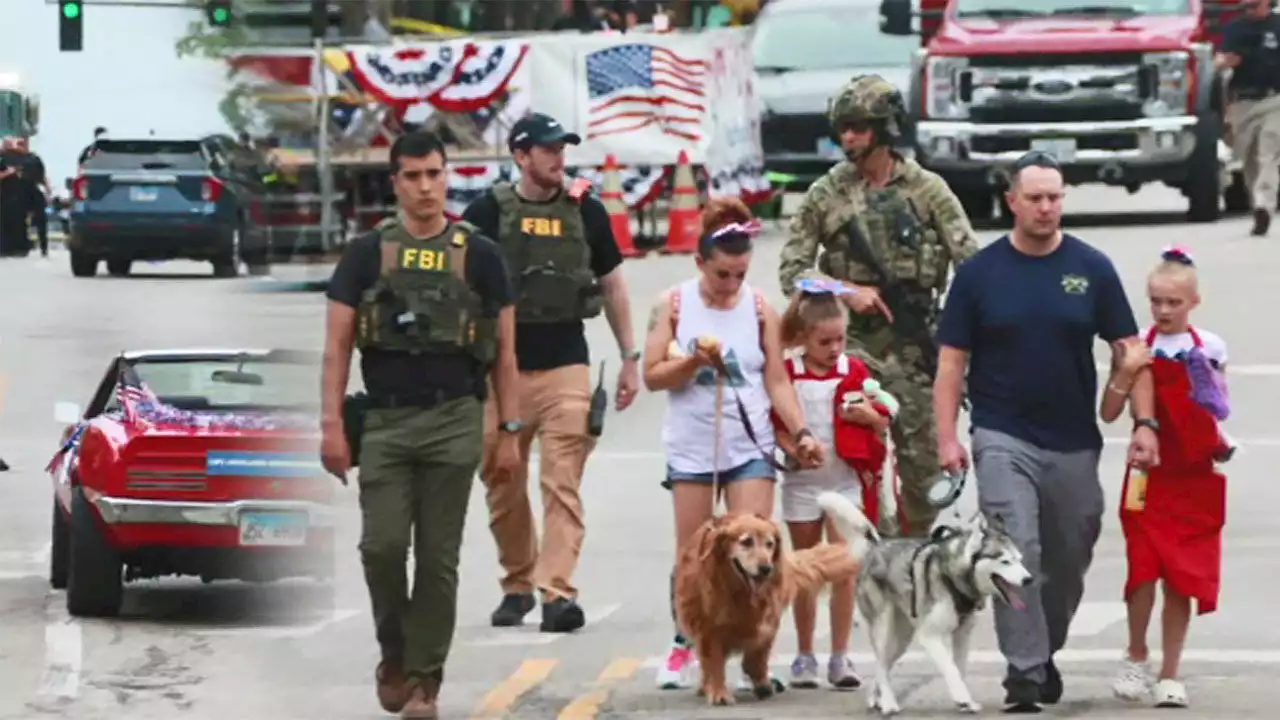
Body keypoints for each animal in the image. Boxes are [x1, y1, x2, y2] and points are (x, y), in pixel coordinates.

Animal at [819, 486, 1039, 712]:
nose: (1028, 579)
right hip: (884, 627)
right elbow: (950, 668)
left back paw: (876, 698)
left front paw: (967, 701)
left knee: (885, 665)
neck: (955, 578)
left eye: (1019, 560)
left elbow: (959, 669)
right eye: (1004, 561)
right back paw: (888, 703)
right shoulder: (929, 635)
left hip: (902, 637)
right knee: (880, 664)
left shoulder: (962, 635)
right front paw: (962, 697)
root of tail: (876, 547)